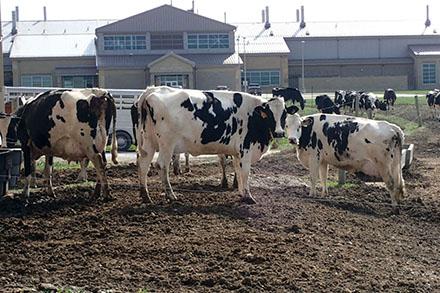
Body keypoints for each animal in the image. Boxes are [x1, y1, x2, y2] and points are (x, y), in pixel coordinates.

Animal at [136, 86, 288, 203]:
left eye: (284, 114)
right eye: (269, 114)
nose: (280, 133)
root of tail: (152, 90)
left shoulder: (237, 153)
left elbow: (238, 171)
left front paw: (241, 193)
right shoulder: (245, 149)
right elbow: (245, 172)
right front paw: (248, 197)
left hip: (149, 141)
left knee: (144, 164)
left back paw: (145, 195)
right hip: (167, 144)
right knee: (161, 165)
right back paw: (170, 195)